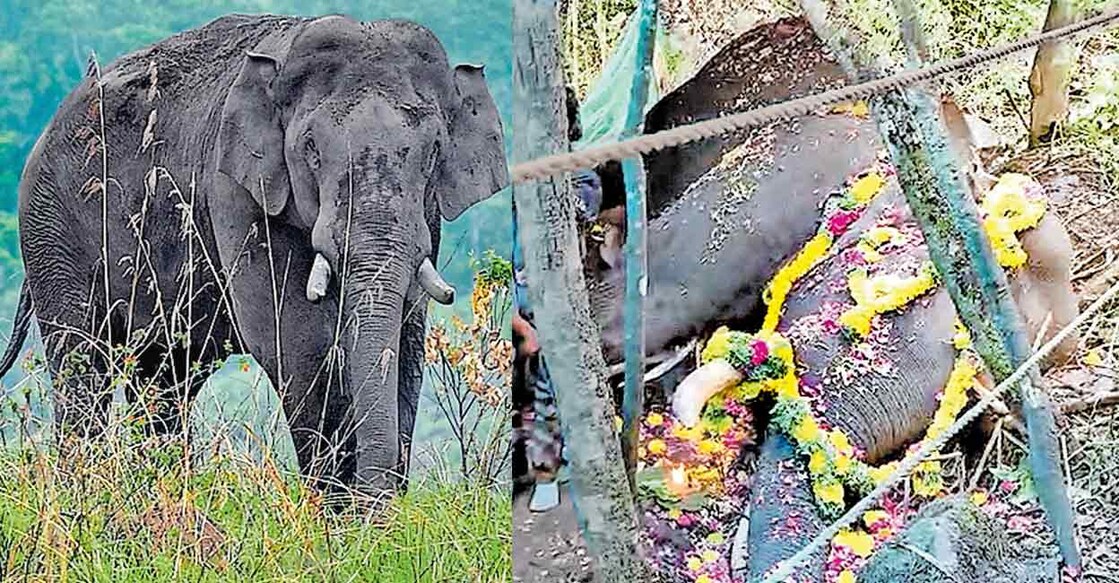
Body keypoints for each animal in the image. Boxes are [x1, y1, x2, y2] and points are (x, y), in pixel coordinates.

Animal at [0, 13, 508, 494]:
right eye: (311, 150)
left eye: (434, 151)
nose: (378, 501)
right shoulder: (236, 191)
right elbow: (295, 340)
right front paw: (337, 510)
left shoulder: (428, 215)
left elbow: (406, 335)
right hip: (51, 230)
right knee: (82, 362)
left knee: (165, 376)